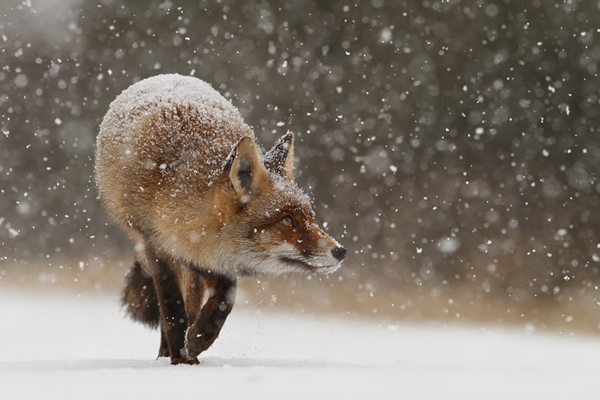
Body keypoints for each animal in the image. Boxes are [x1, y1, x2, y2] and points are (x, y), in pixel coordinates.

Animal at [95, 73, 346, 364]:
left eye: (309, 217)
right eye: (286, 221)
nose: (340, 251)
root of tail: (164, 76)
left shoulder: (210, 258)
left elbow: (226, 298)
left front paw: (198, 339)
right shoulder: (156, 247)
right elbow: (171, 309)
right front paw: (179, 358)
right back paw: (167, 354)